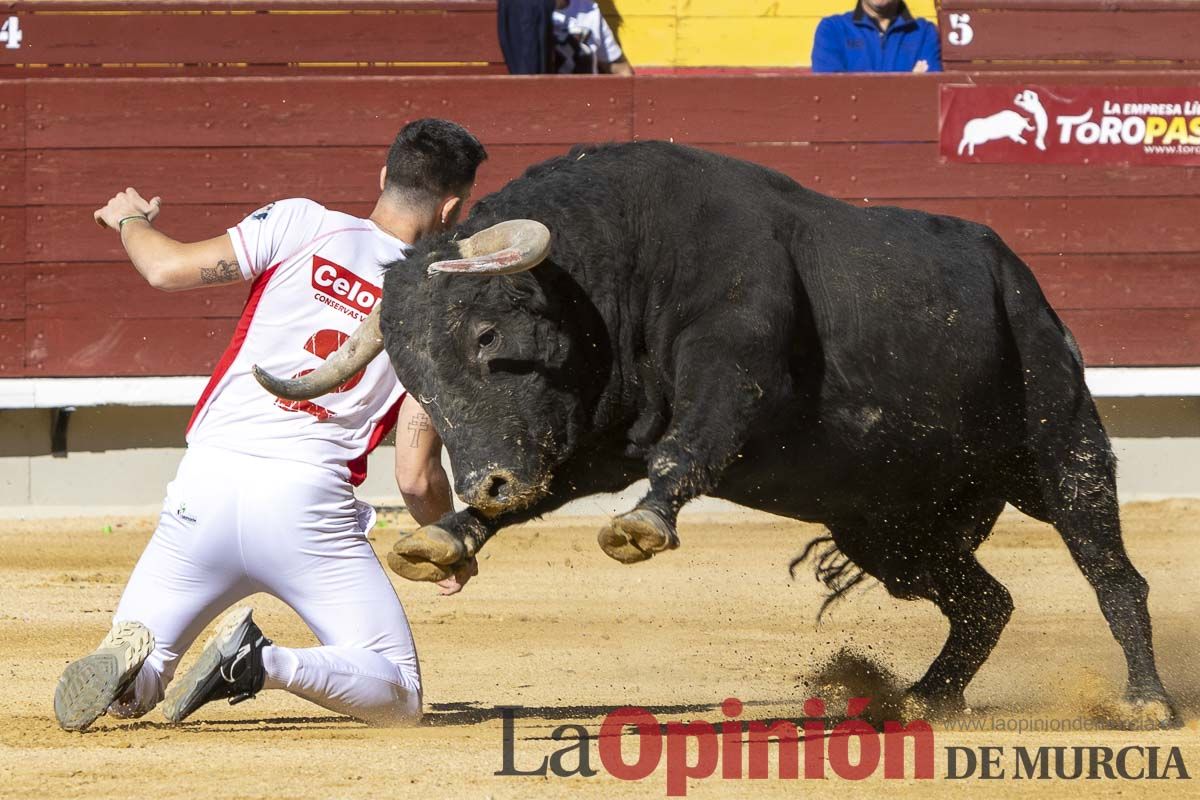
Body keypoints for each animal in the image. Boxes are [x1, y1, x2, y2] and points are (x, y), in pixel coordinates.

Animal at [274, 140, 1180, 724]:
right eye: (412, 377)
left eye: (488, 337)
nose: (486, 481)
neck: (621, 267)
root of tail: (1018, 273)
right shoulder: (598, 440)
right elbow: (550, 489)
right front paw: (446, 536)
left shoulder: (735, 370)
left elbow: (694, 446)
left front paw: (640, 526)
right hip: (891, 528)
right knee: (986, 601)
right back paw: (925, 698)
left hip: (1060, 444)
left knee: (1112, 571)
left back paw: (1145, 702)